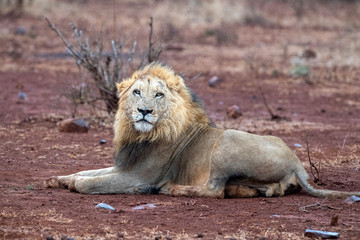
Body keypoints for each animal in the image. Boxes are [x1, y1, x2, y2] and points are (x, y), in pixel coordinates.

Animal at [45, 62, 360, 199]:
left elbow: (89, 183)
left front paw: (72, 184)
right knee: (266, 190)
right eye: (136, 92)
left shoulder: (138, 177)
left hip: (228, 139)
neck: (140, 135)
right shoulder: (124, 165)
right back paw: (246, 190)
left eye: (158, 95)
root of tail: (297, 163)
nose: (144, 111)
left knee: (214, 190)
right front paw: (57, 179)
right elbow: (87, 171)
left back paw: (174, 189)